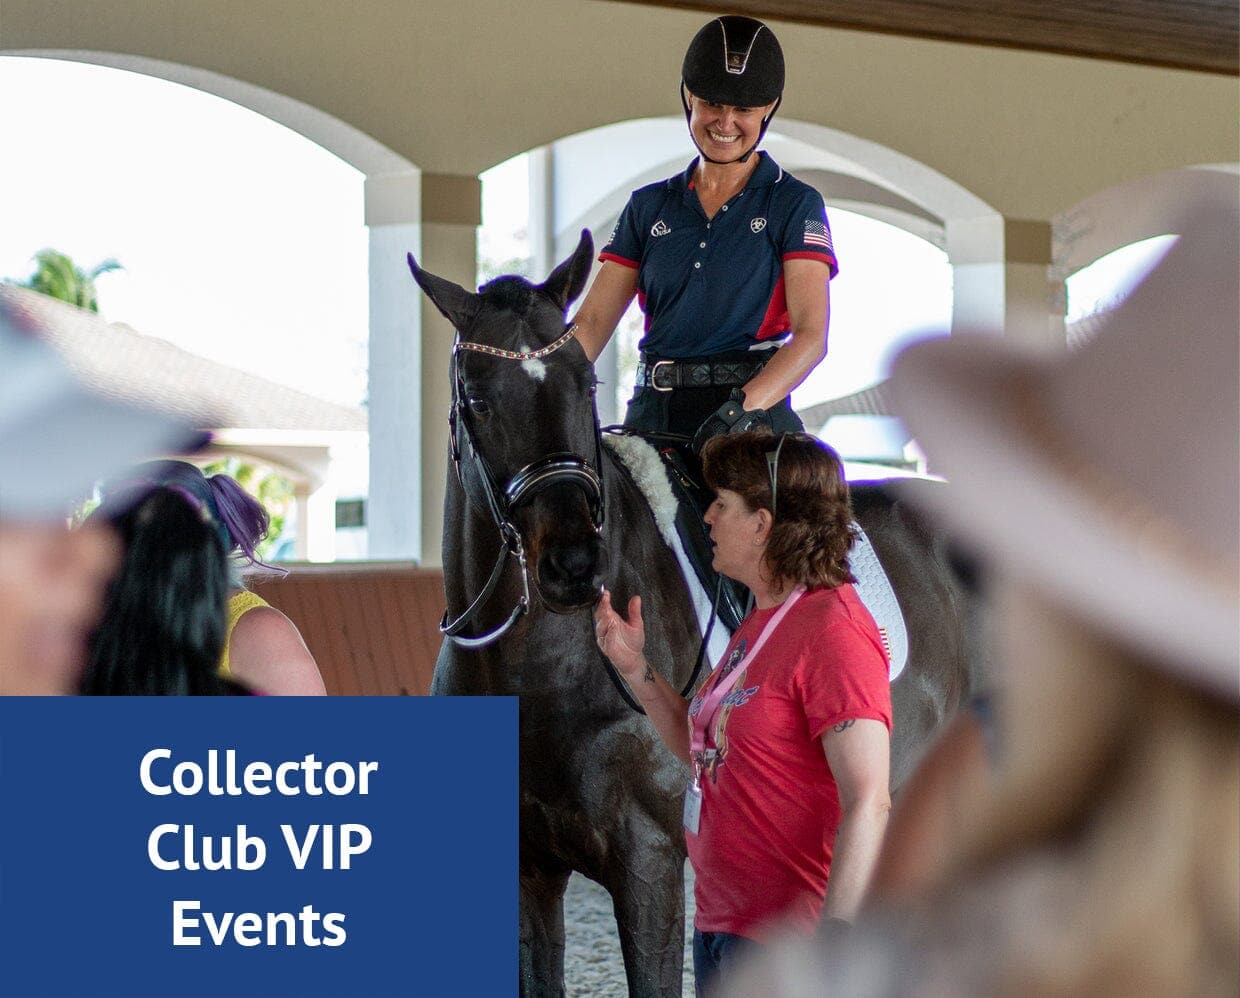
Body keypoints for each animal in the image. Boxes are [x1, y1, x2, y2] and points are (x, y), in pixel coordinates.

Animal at [408, 231, 974, 997]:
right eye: (476, 397)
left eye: (584, 384)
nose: (574, 565)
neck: (536, 672)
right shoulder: (526, 871)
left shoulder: (648, 861)